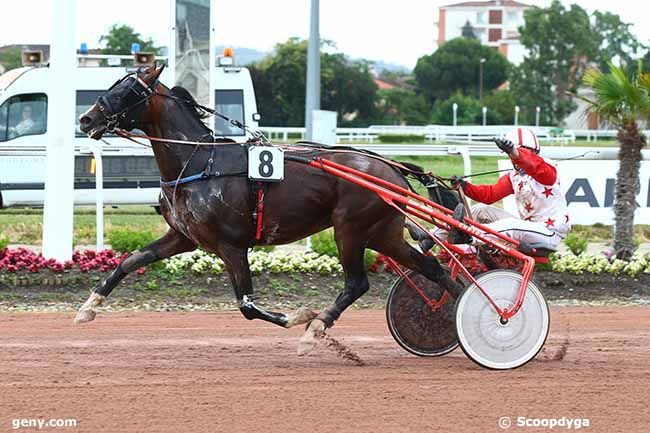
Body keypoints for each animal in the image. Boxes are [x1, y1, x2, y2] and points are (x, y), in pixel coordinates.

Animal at [76, 65, 458, 354]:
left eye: (127, 91)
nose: (85, 119)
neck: (199, 162)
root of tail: (390, 167)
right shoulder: (184, 237)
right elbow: (130, 261)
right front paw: (87, 308)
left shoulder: (232, 246)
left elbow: (247, 305)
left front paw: (298, 316)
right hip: (382, 233)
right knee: (433, 269)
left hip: (349, 229)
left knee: (357, 283)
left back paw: (314, 330)